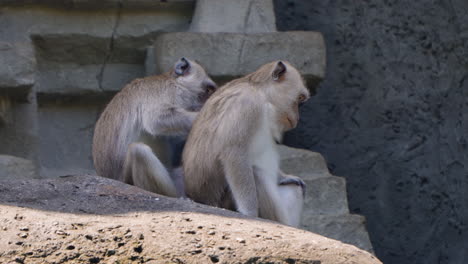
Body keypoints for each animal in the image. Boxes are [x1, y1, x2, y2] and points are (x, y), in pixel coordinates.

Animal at [93, 58, 218, 197]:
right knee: (139, 151)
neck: (174, 81)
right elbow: (156, 119)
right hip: (127, 179)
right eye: (209, 90)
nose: (209, 101)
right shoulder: (167, 92)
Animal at [184, 60, 310, 226]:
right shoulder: (247, 105)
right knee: (256, 172)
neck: (262, 95)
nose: (297, 118)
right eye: (300, 99)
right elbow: (234, 154)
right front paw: (249, 213)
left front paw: (284, 177)